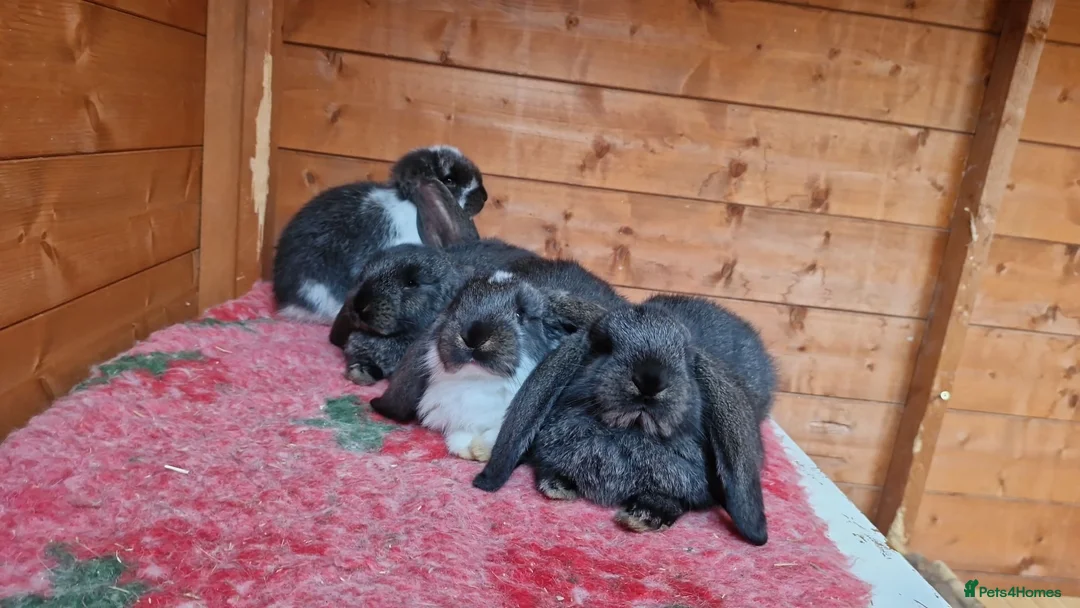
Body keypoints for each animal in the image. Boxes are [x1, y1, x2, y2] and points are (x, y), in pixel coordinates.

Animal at [369, 258, 626, 462]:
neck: (479, 382)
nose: (473, 336)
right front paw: (466, 448)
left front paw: (481, 450)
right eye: (456, 305)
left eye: (521, 313)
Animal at [471, 293, 777, 546]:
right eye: (605, 345)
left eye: (686, 356)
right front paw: (558, 485)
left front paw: (645, 515)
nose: (650, 380)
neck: (628, 433)